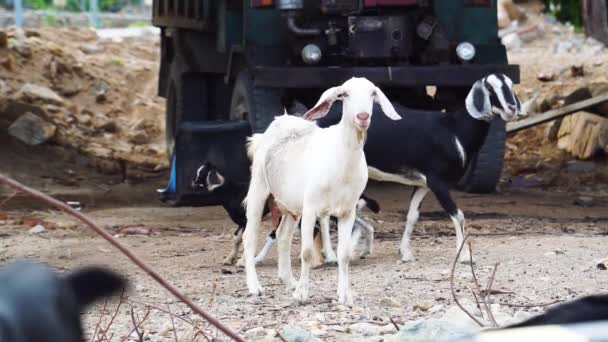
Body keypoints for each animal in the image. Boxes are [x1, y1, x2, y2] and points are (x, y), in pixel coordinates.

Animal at [192, 162, 378, 268]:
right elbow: (236, 238)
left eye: (201, 175)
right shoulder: (241, 222)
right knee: (363, 226)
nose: (191, 183)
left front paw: (242, 261)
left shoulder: (247, 220)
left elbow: (247, 237)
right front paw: (229, 259)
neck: (232, 191)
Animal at [318, 73, 524, 264]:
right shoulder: (438, 182)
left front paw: (405, 254)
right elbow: (458, 215)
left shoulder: (422, 184)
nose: (511, 109)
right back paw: (331, 257)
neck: (454, 130)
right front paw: (465, 256)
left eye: (511, 85)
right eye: (489, 88)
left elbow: (412, 216)